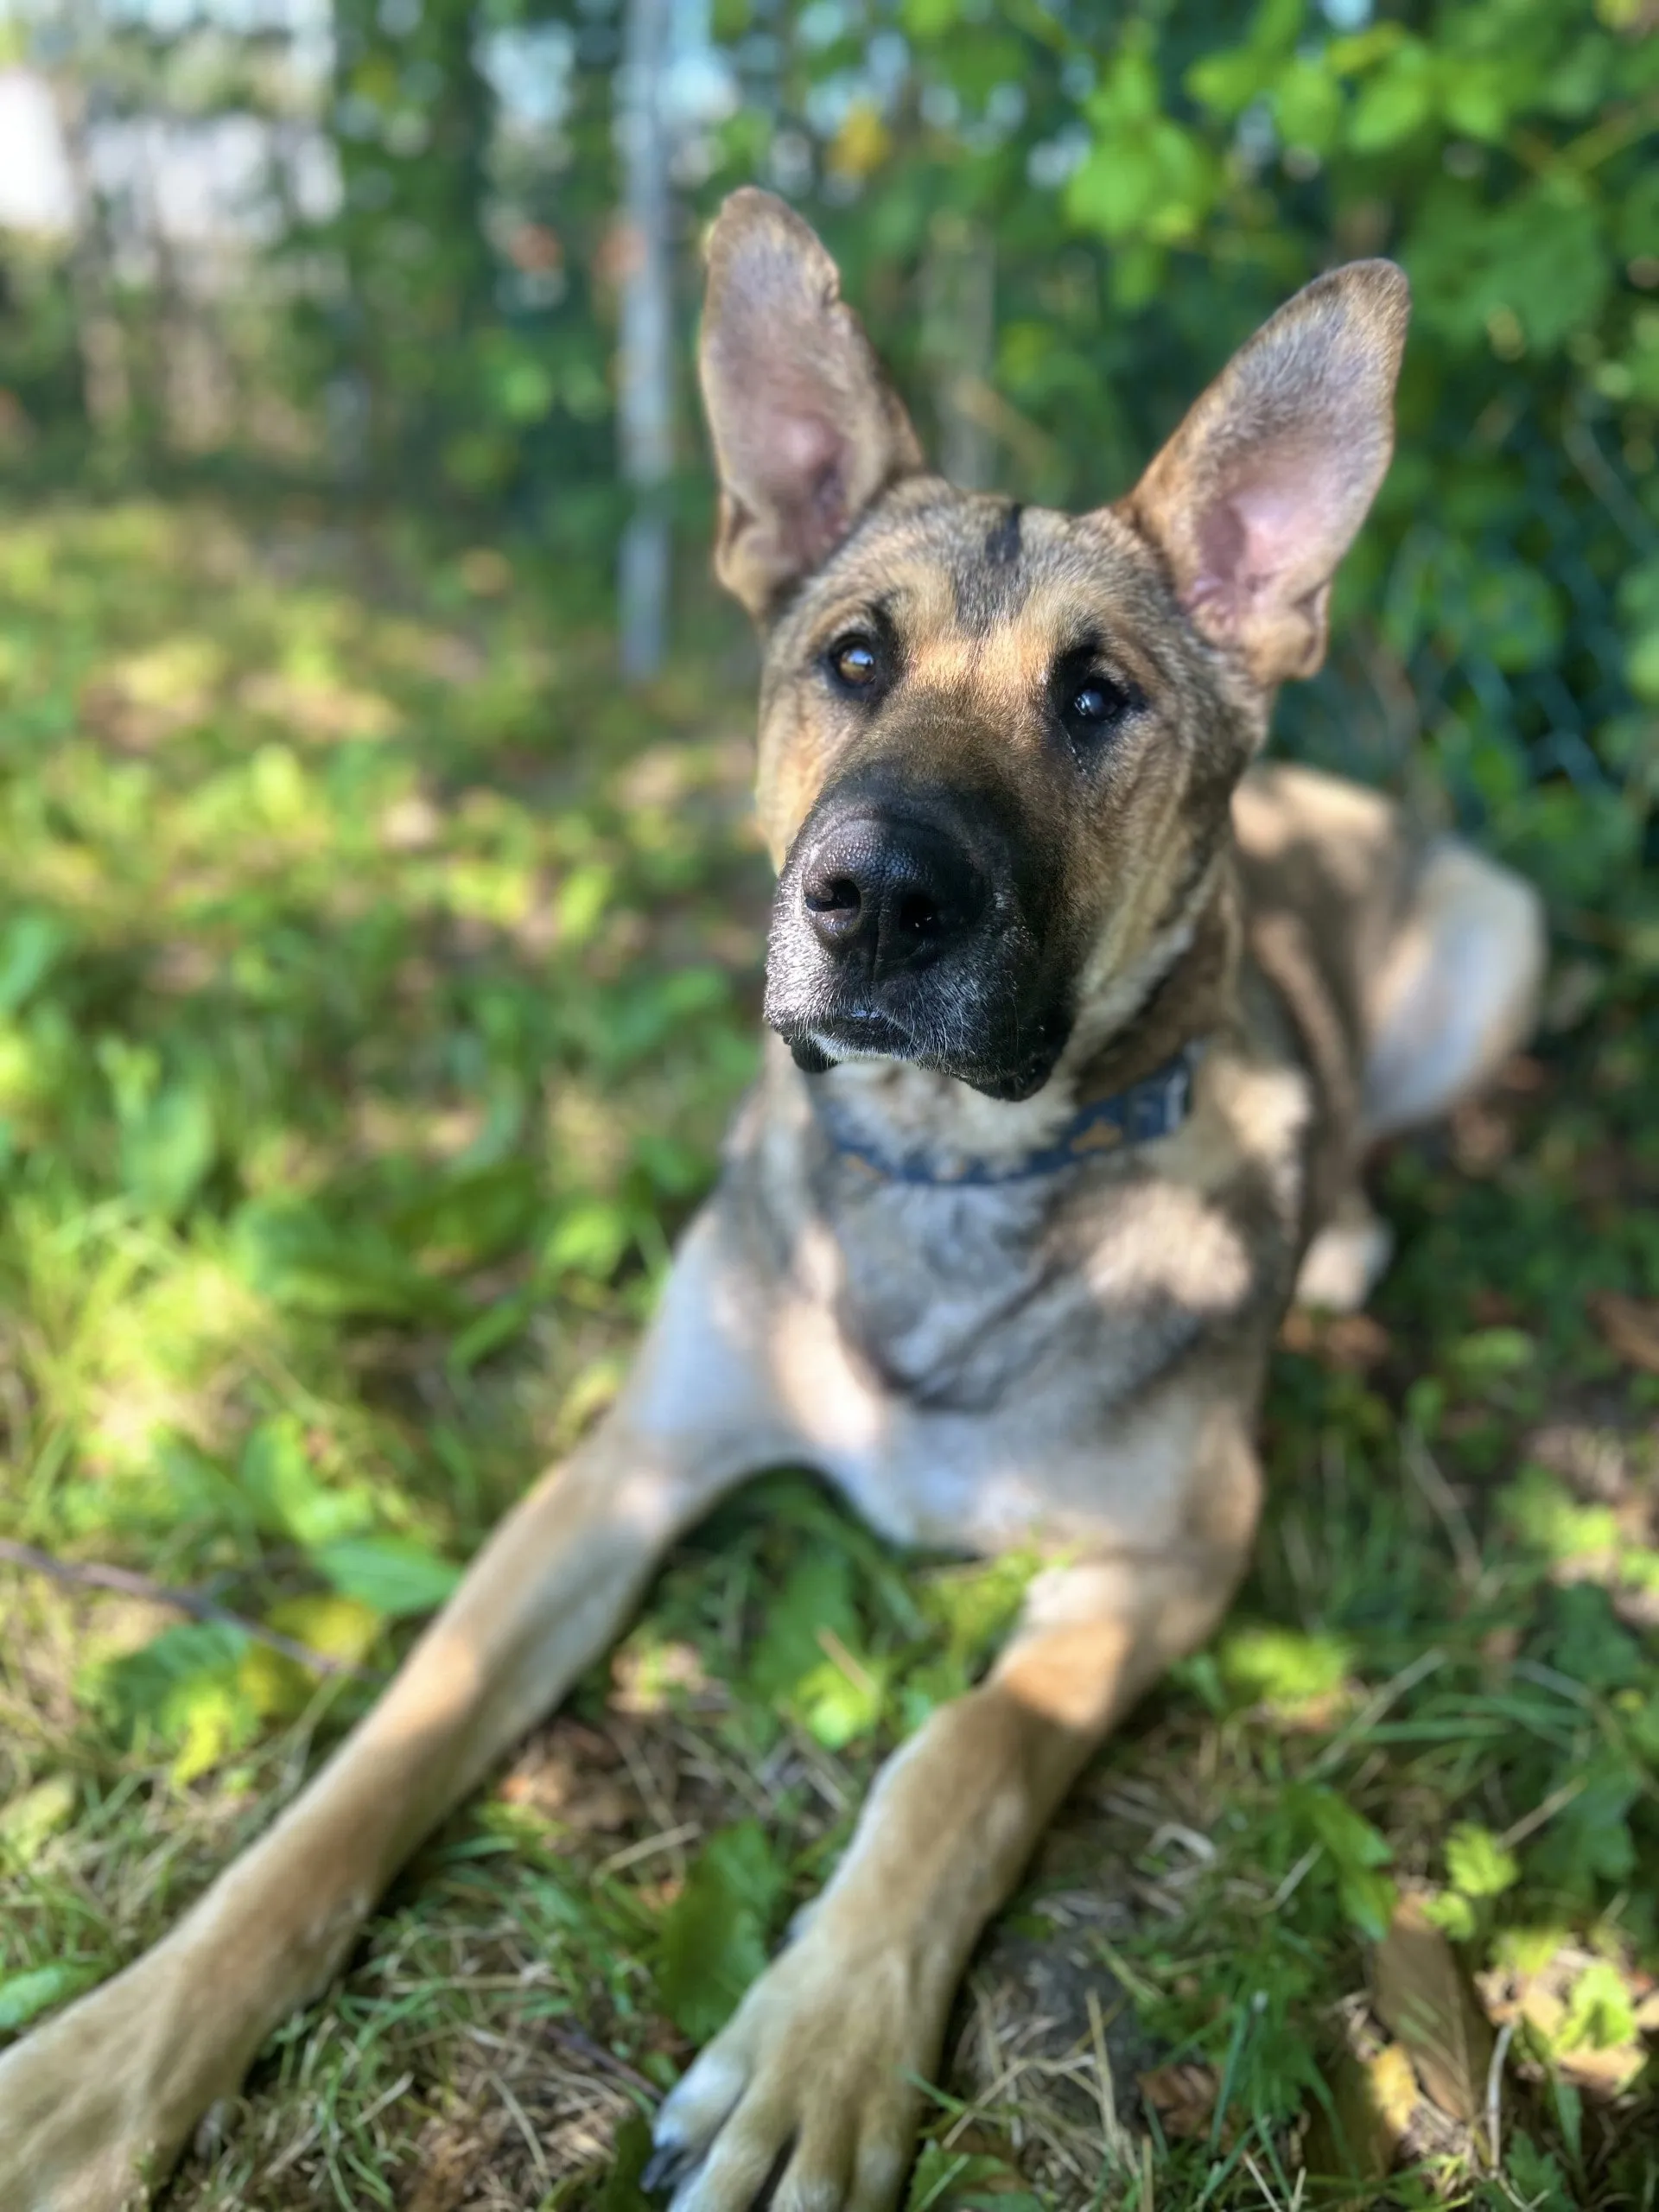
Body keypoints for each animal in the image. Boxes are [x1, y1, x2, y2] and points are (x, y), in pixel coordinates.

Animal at [6, 190, 1557, 2212]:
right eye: (853, 658)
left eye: (1097, 697)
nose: (879, 897)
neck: (942, 1161)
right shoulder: (617, 1470)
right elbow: (368, 1768)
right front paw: (117, 2056)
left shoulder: (1178, 1553)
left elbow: (963, 1750)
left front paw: (819, 2046)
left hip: (1502, 936)